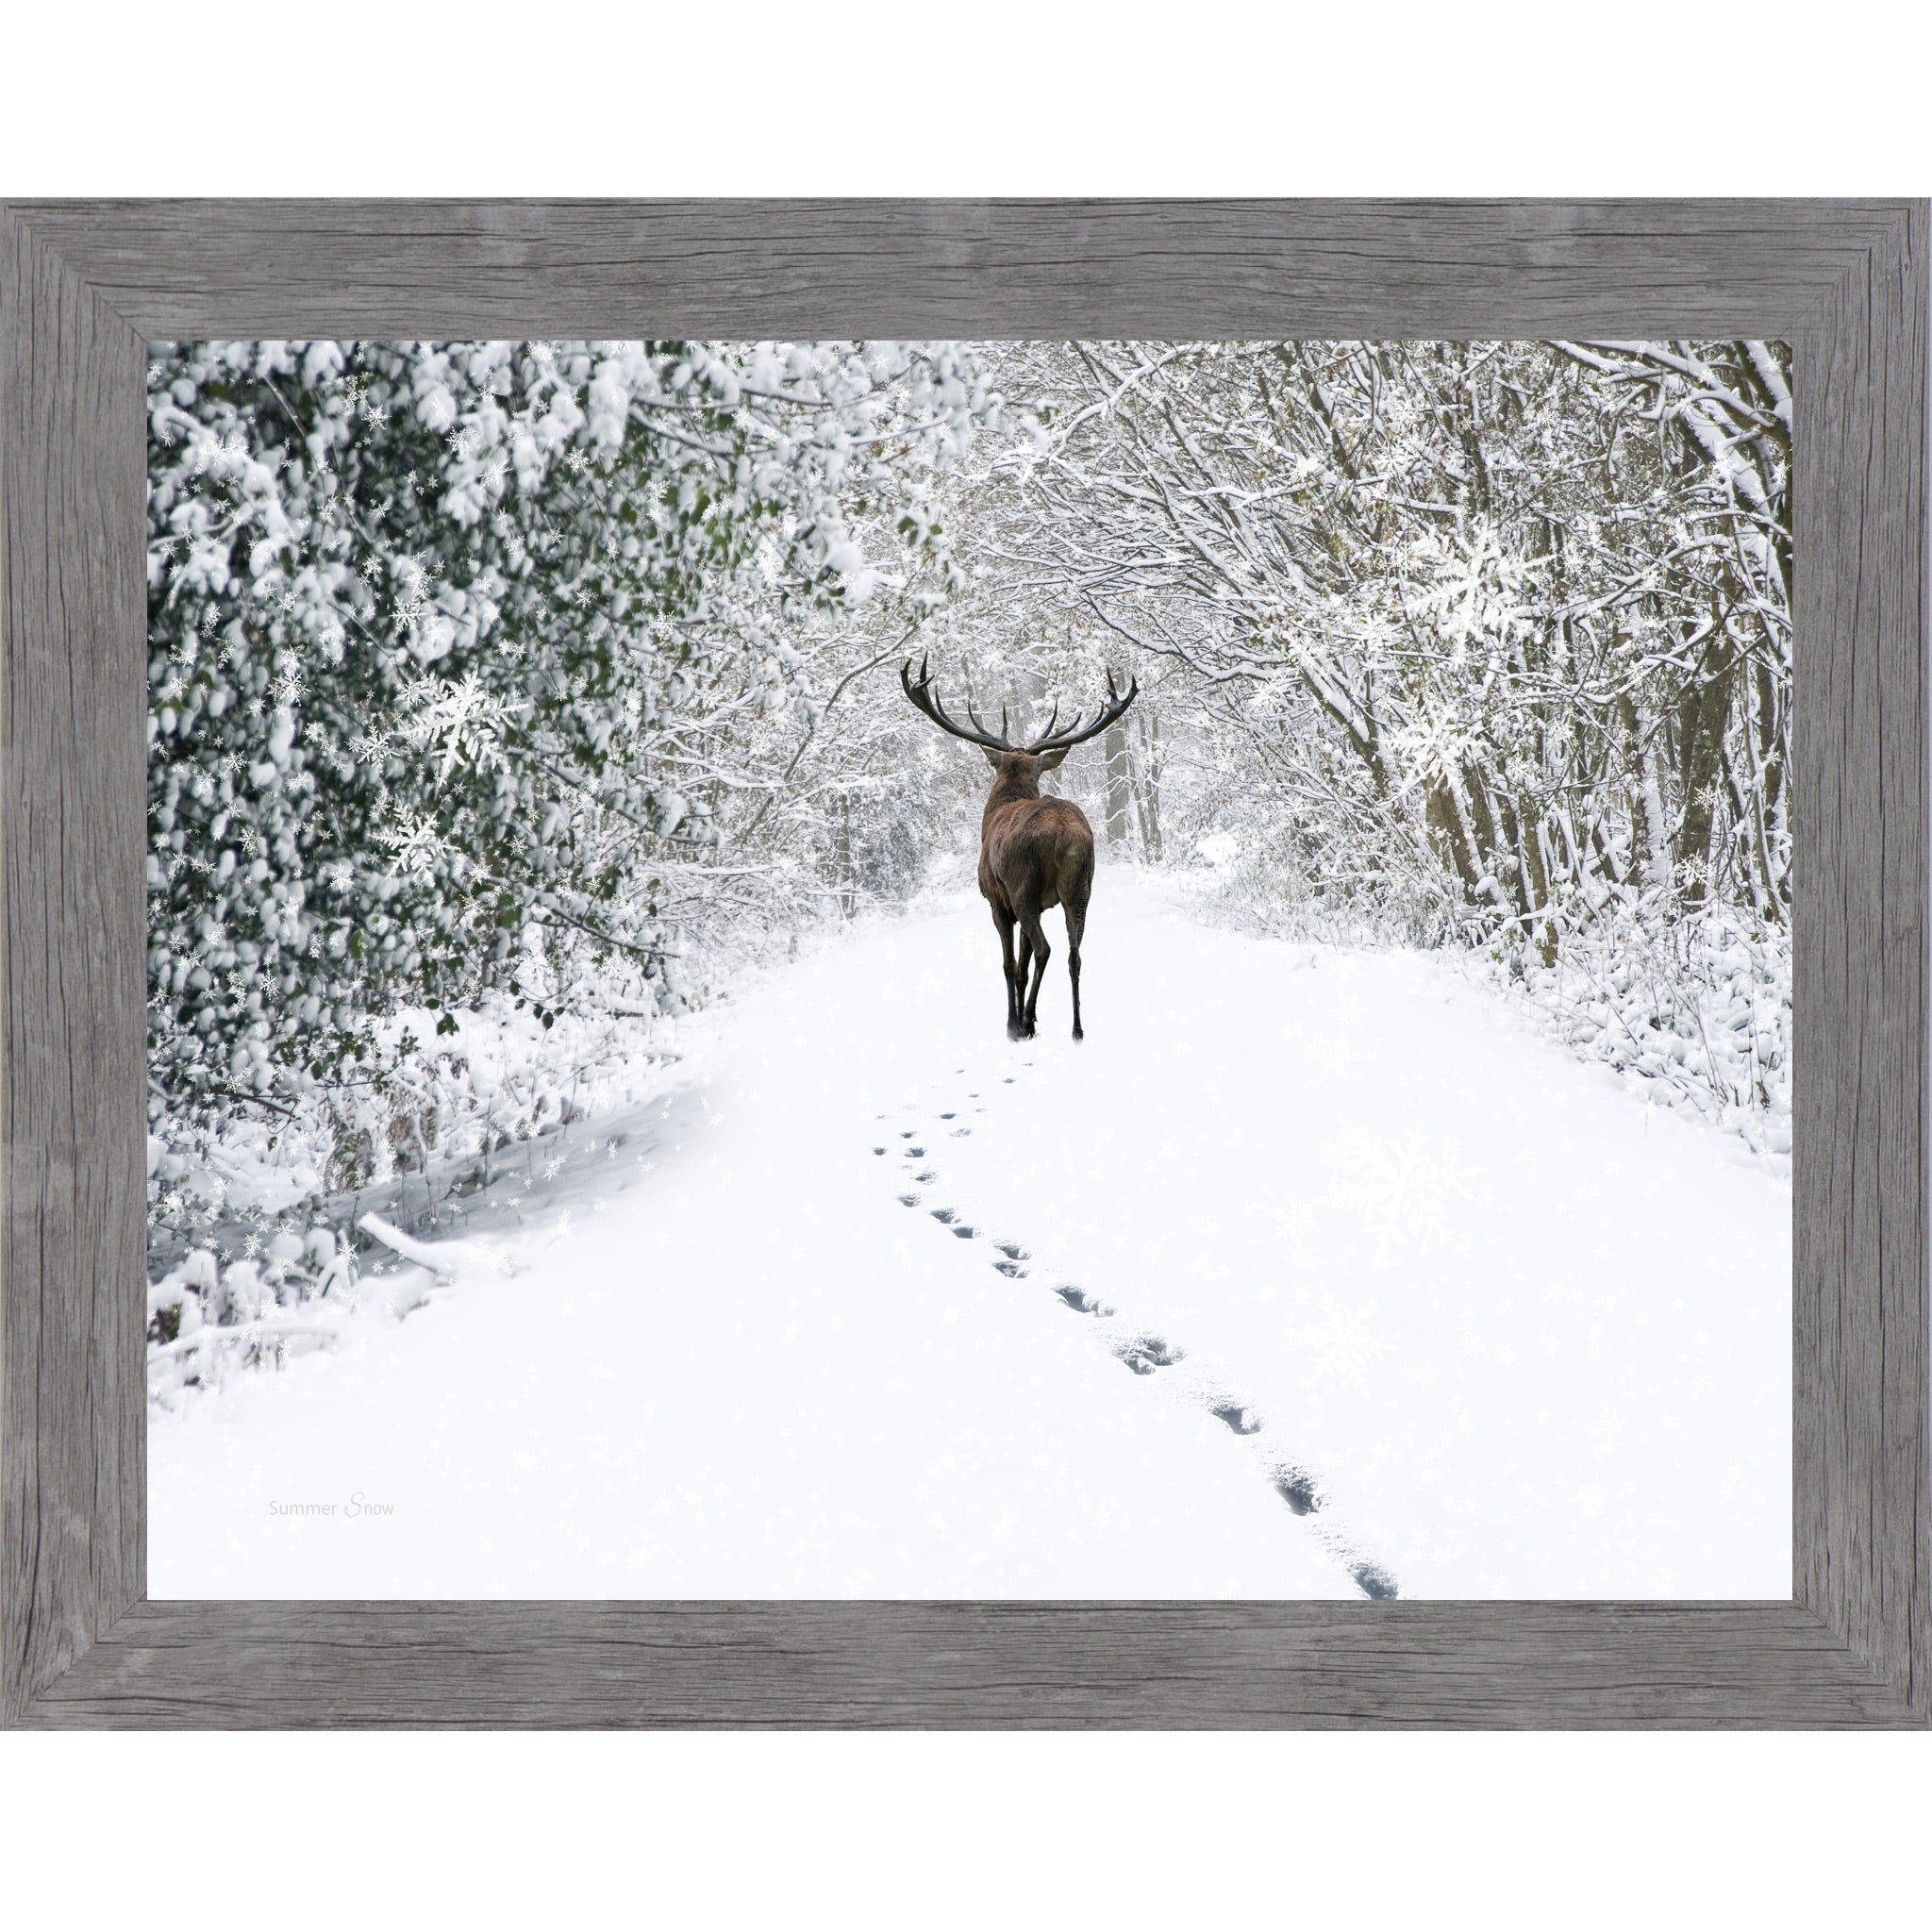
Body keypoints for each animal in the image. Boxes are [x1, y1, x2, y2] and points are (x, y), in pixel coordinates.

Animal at [900, 655, 1139, 1041]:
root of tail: (1065, 835)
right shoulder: (1041, 904)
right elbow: (1023, 967)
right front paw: (1033, 1018)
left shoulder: (998, 901)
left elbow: (1010, 964)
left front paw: (1013, 1023)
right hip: (1081, 888)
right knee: (1075, 953)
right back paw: (1076, 1029)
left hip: (1023, 887)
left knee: (1045, 949)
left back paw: (1024, 1022)